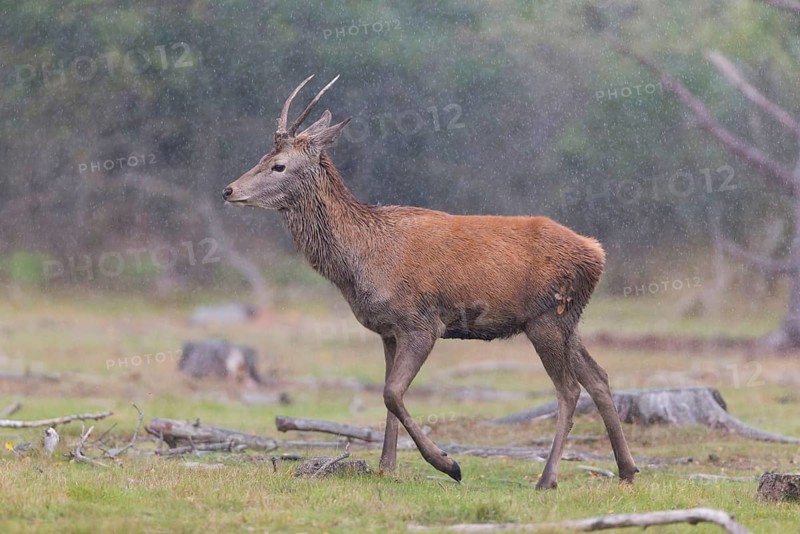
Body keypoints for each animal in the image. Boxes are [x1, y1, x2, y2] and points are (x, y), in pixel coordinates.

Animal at [222, 75, 638, 489]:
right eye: (261, 158)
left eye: (278, 165)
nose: (229, 190)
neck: (360, 263)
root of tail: (597, 253)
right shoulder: (387, 330)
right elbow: (386, 394)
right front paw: (386, 466)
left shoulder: (421, 322)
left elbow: (392, 393)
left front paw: (447, 464)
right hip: (567, 320)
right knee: (598, 377)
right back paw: (627, 470)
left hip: (546, 318)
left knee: (569, 389)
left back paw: (548, 479)